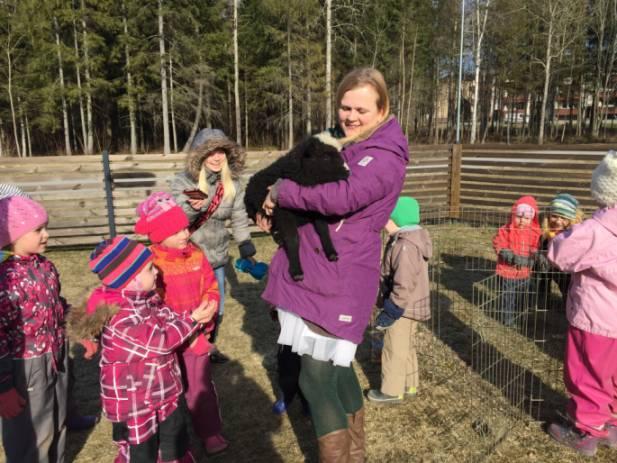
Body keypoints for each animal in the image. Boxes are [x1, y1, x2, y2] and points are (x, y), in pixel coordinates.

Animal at [244, 131, 348, 282]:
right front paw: (297, 272)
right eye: (326, 157)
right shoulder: (283, 213)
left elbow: (323, 230)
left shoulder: (314, 209)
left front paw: (332, 253)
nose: (348, 171)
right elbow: (293, 239)